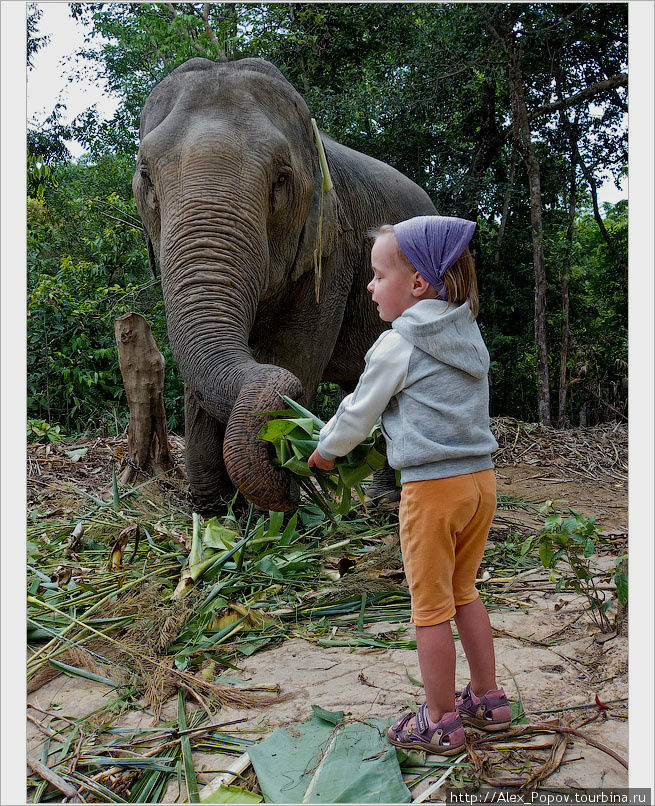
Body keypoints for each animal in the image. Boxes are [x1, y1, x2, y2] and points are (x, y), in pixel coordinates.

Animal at [134, 56, 438, 516]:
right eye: (146, 174)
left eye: (282, 178)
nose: (288, 477)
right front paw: (214, 509)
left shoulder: (333, 250)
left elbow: (293, 351)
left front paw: (268, 506)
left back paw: (389, 500)